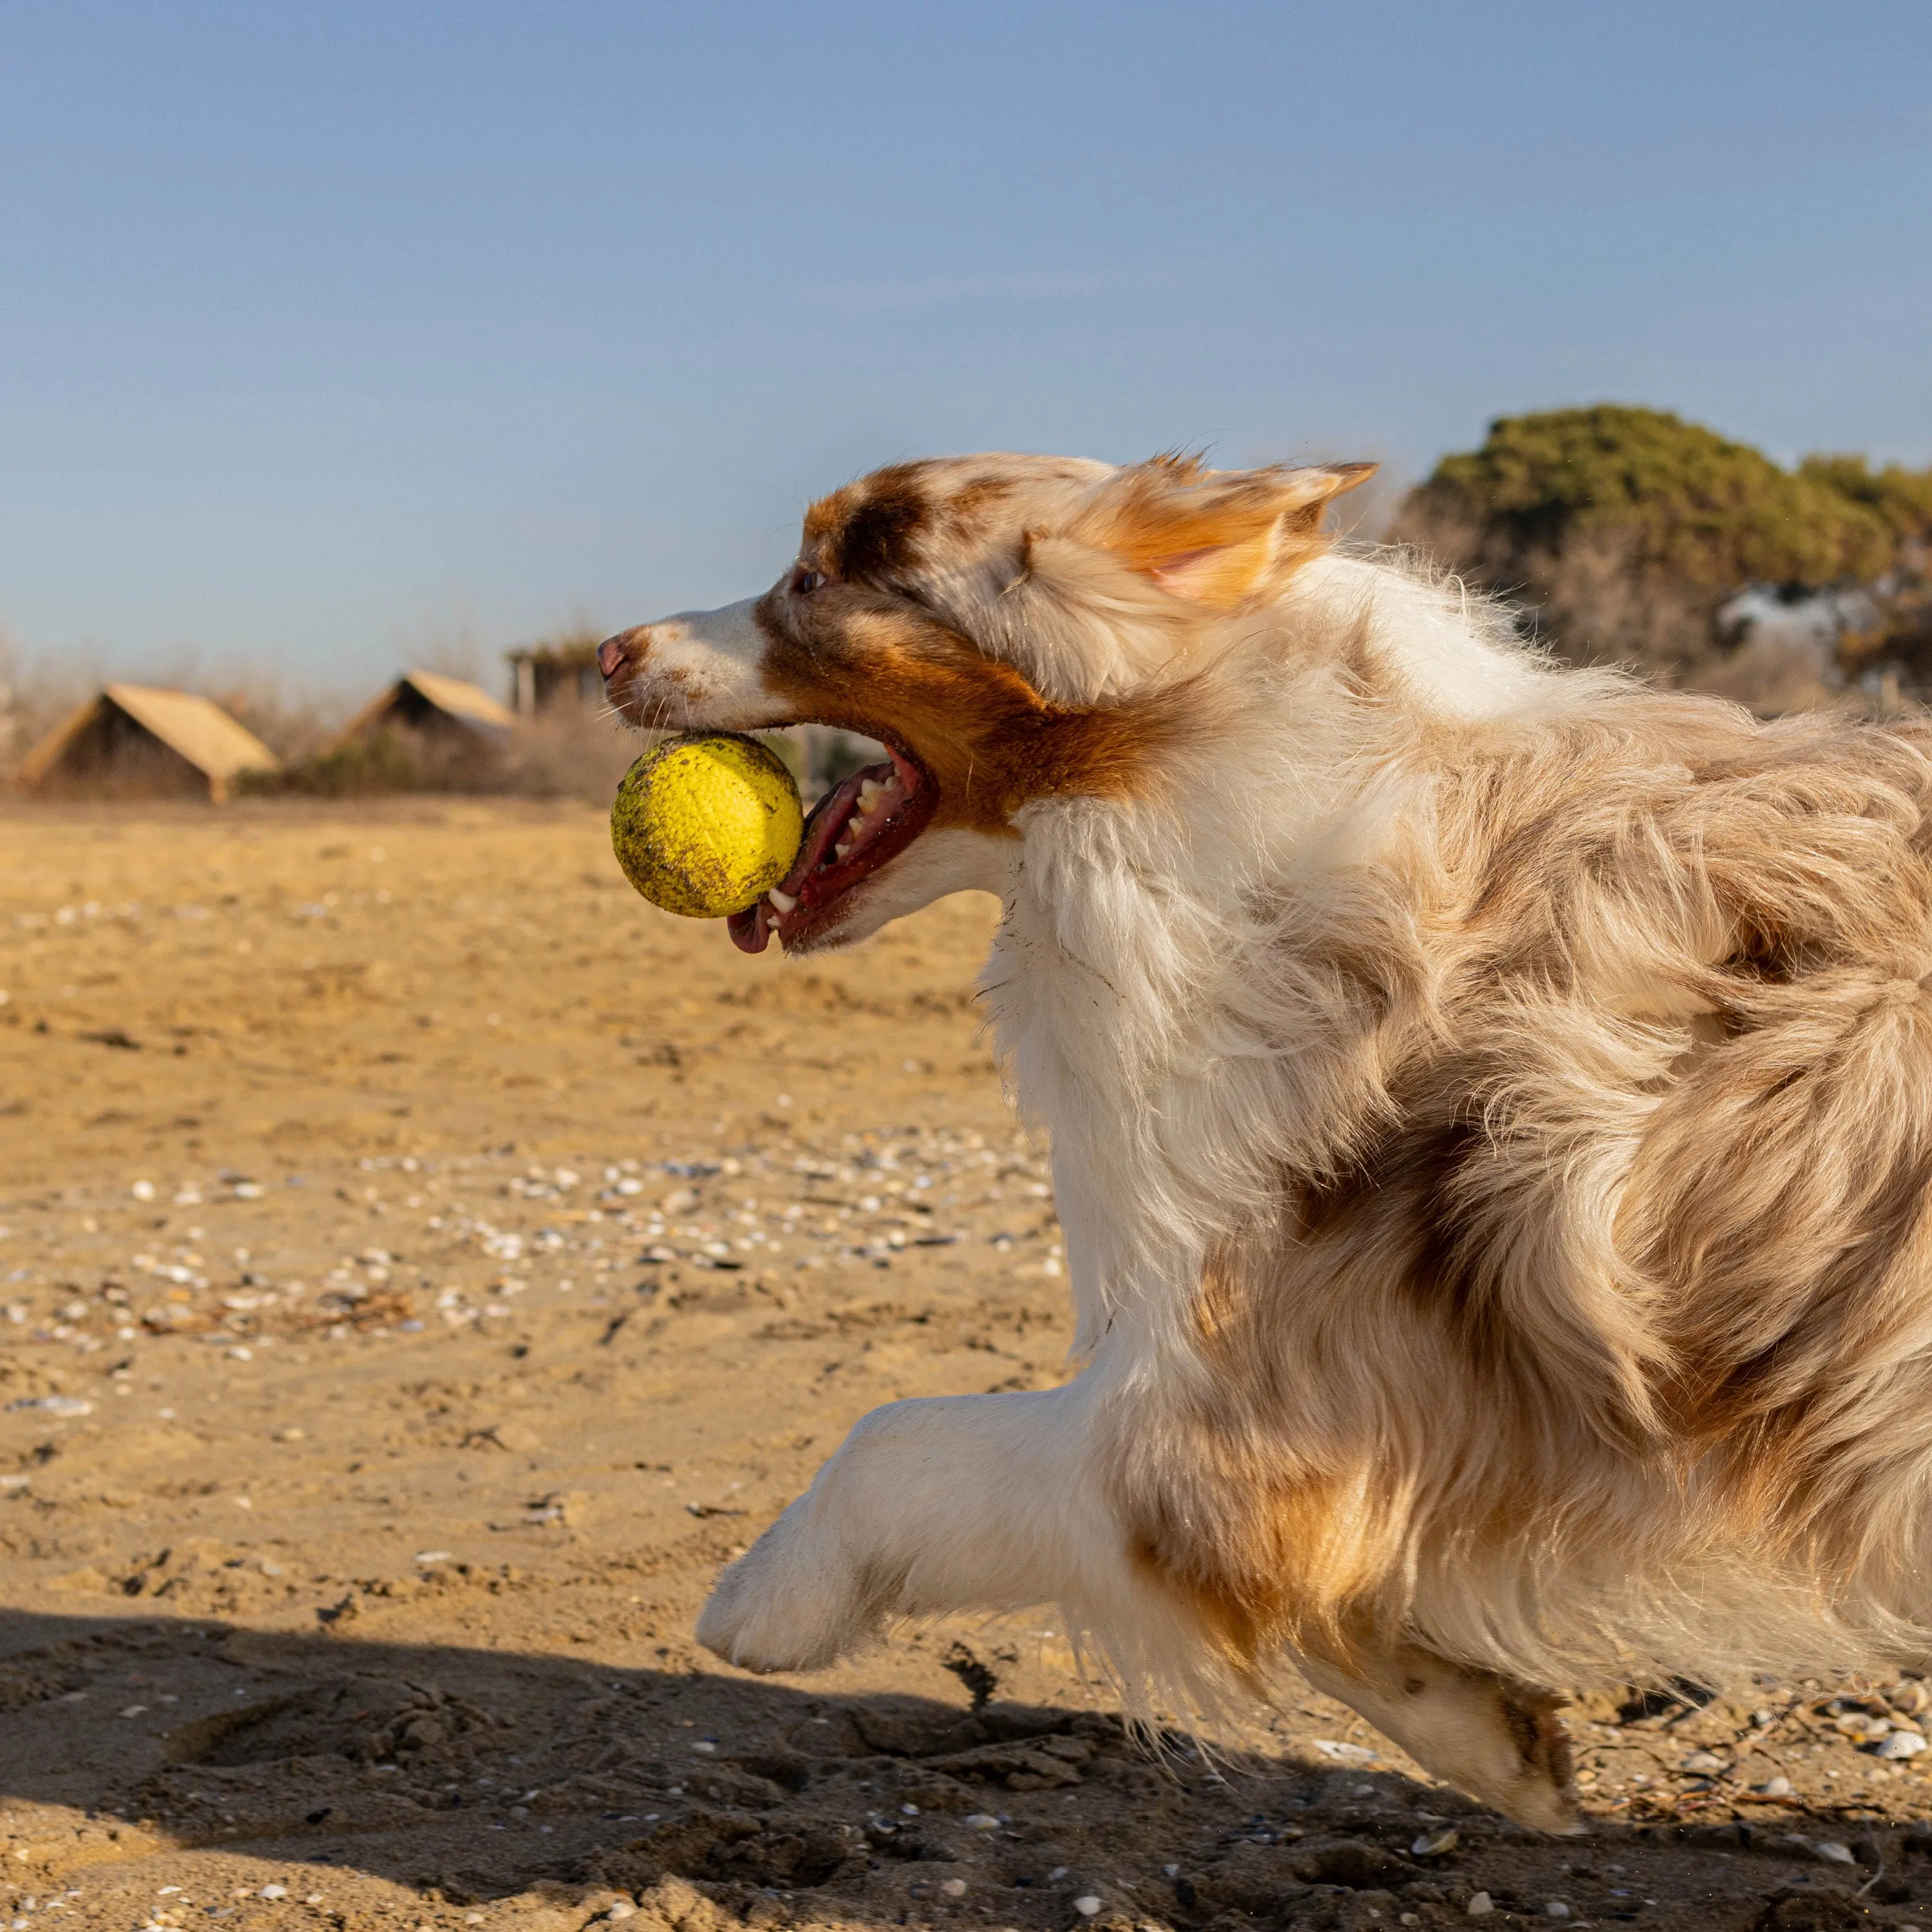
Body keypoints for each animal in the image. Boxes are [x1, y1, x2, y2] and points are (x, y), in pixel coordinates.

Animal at [591, 448, 1932, 1824]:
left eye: (814, 581)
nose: (604, 650)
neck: (1191, 793)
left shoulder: (1233, 1390)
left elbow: (894, 1440)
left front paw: (767, 1598)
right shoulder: (1334, 1422)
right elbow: (1344, 1601)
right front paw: (1491, 1736)